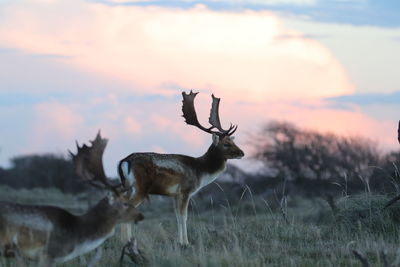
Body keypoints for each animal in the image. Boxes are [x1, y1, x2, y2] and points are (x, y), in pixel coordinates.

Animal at [117, 91, 245, 246]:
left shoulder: (174, 195)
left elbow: (177, 217)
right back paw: (125, 242)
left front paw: (180, 241)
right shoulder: (185, 190)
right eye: (226, 144)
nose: (242, 153)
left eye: (233, 141)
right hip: (140, 188)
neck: (200, 171)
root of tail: (125, 161)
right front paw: (186, 242)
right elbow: (184, 217)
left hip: (127, 188)